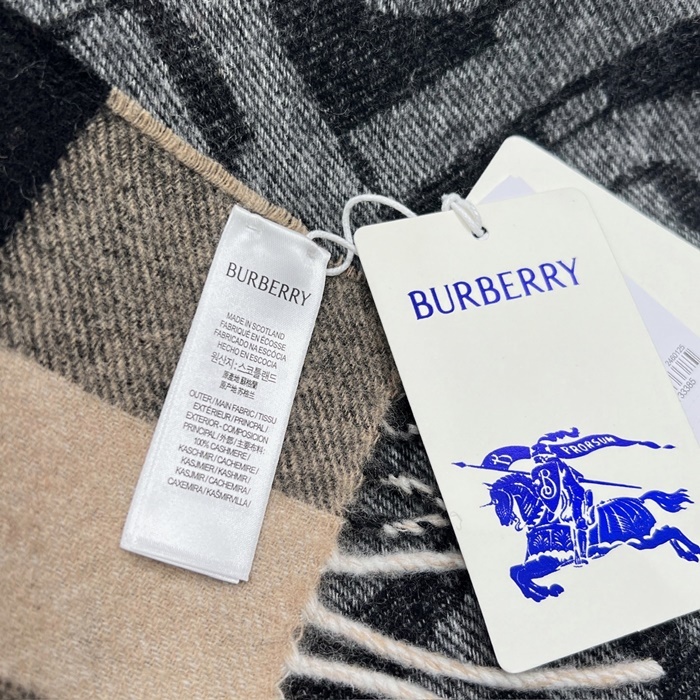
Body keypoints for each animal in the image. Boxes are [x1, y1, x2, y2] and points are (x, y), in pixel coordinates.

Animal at [486, 472, 699, 602]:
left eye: (498, 501)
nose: (505, 521)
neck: (542, 519)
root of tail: (639, 500)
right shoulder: (542, 561)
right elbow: (515, 571)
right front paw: (541, 593)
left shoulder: (551, 560)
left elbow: (520, 573)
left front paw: (543, 592)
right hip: (642, 540)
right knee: (669, 531)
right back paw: (687, 554)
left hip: (642, 539)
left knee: (672, 530)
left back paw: (694, 550)